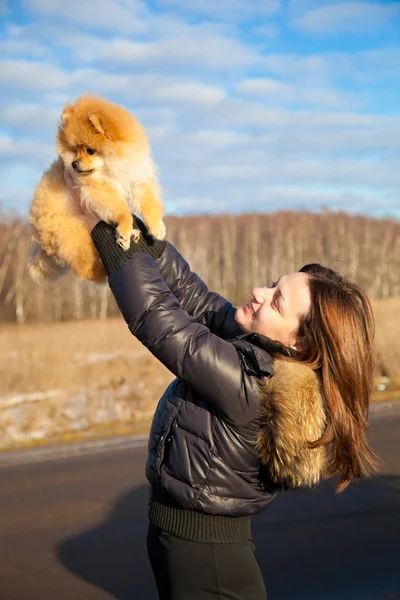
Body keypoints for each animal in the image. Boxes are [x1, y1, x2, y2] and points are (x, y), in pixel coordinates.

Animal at [28, 94, 166, 284]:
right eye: (75, 150)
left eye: (90, 150)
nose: (74, 164)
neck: (110, 169)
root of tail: (40, 239)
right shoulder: (97, 190)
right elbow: (122, 210)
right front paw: (124, 230)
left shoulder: (136, 180)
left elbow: (149, 205)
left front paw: (156, 227)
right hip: (77, 236)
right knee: (87, 269)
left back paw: (135, 234)